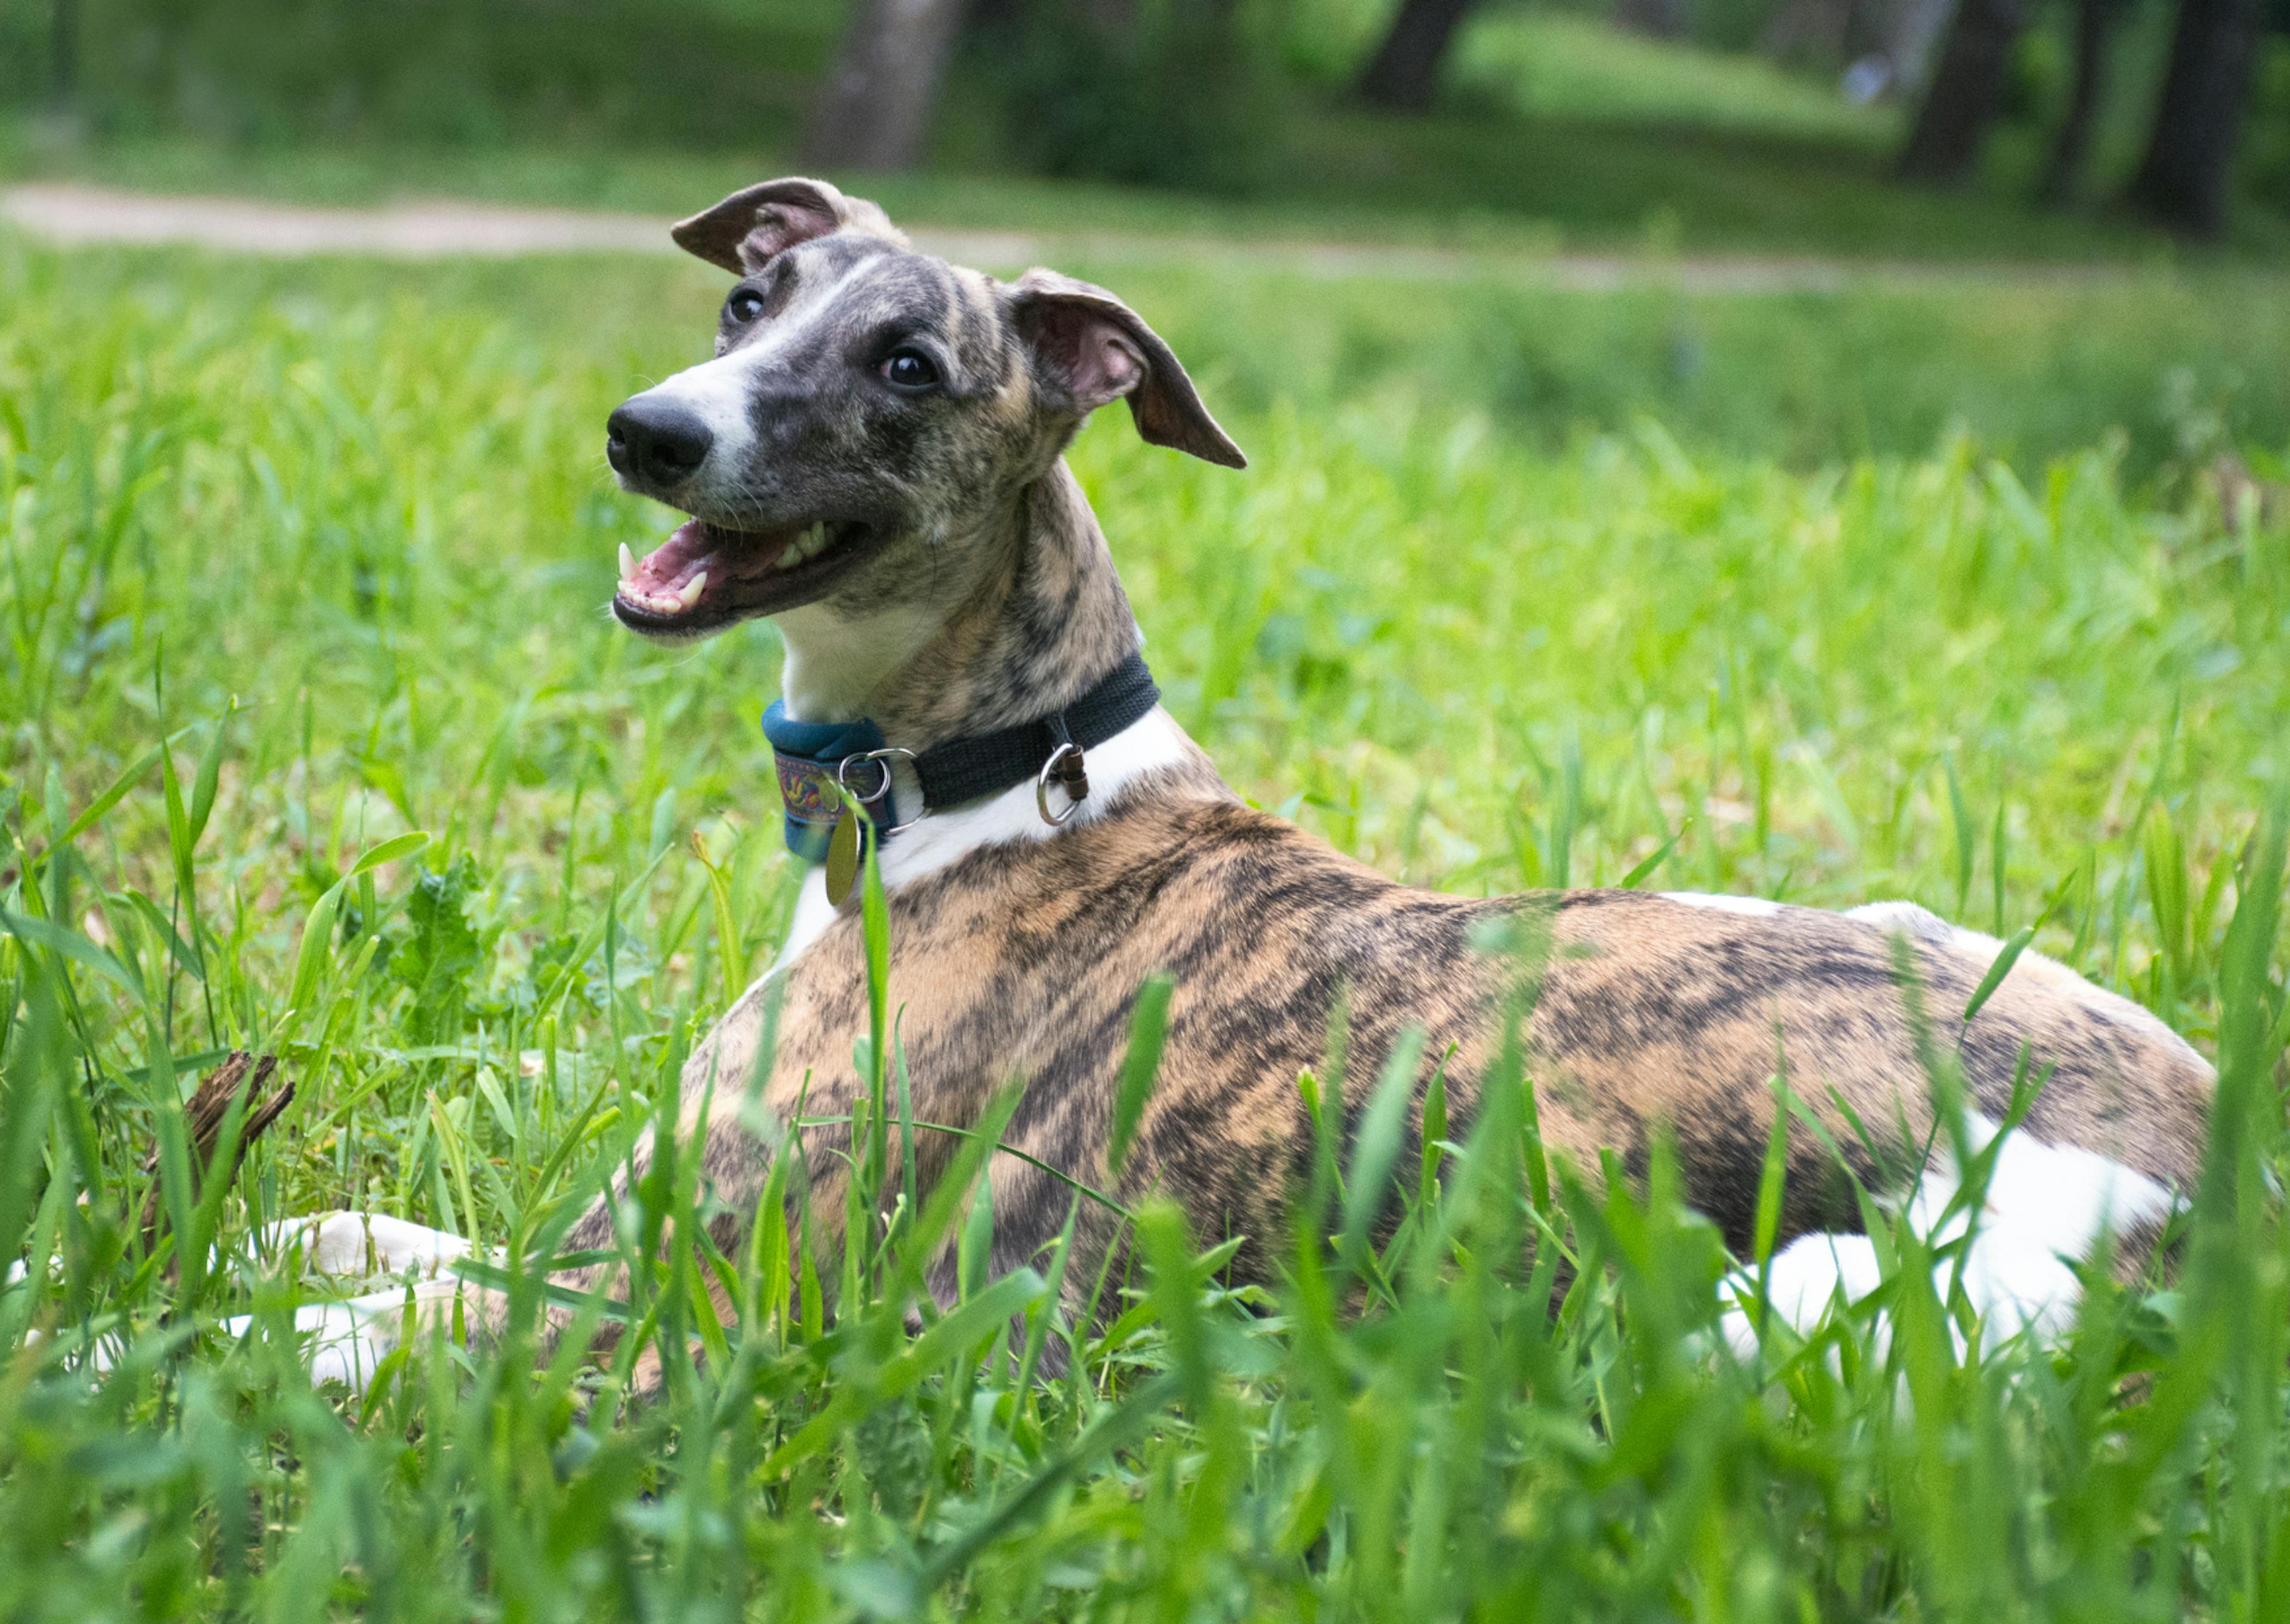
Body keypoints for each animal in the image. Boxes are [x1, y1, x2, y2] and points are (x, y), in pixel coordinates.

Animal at [232, 183, 2198, 1383]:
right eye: (745, 297)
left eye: (905, 363)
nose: (647, 434)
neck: (988, 781)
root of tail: (2203, 1177)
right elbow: (368, 1230)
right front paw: (284, 1226)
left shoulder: (704, 1287)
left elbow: (357, 1312)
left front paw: (184, 1336)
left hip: (1771, 1296)